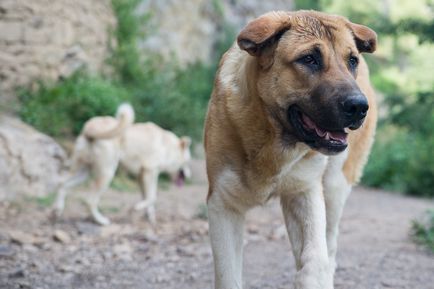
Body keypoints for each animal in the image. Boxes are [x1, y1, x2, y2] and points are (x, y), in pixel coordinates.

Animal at [53, 103, 192, 225]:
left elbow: (148, 198)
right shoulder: (150, 172)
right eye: (188, 161)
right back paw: (101, 221)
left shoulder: (141, 176)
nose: (189, 175)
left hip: (83, 172)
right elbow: (152, 197)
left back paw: (57, 211)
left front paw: (149, 218)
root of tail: (91, 126)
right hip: (107, 173)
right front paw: (137, 208)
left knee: (62, 184)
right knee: (90, 200)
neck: (168, 146)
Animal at [203, 10, 376, 288]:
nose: (359, 106)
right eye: (309, 59)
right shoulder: (222, 204)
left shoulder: (305, 192)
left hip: (335, 186)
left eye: (352, 61)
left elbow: (315, 262)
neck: (274, 139)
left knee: (329, 245)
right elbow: (228, 275)